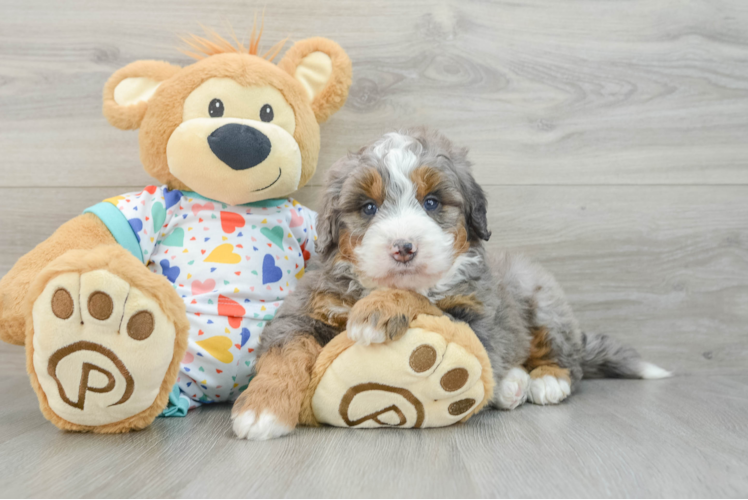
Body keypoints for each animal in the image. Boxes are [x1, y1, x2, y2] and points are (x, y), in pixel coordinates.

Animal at [229, 127, 672, 440]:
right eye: (368, 207)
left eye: (432, 203)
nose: (403, 248)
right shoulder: (306, 309)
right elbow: (285, 352)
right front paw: (262, 409)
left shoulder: (478, 319)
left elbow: (425, 303)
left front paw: (378, 310)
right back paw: (511, 385)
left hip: (542, 299)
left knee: (567, 360)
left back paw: (545, 381)